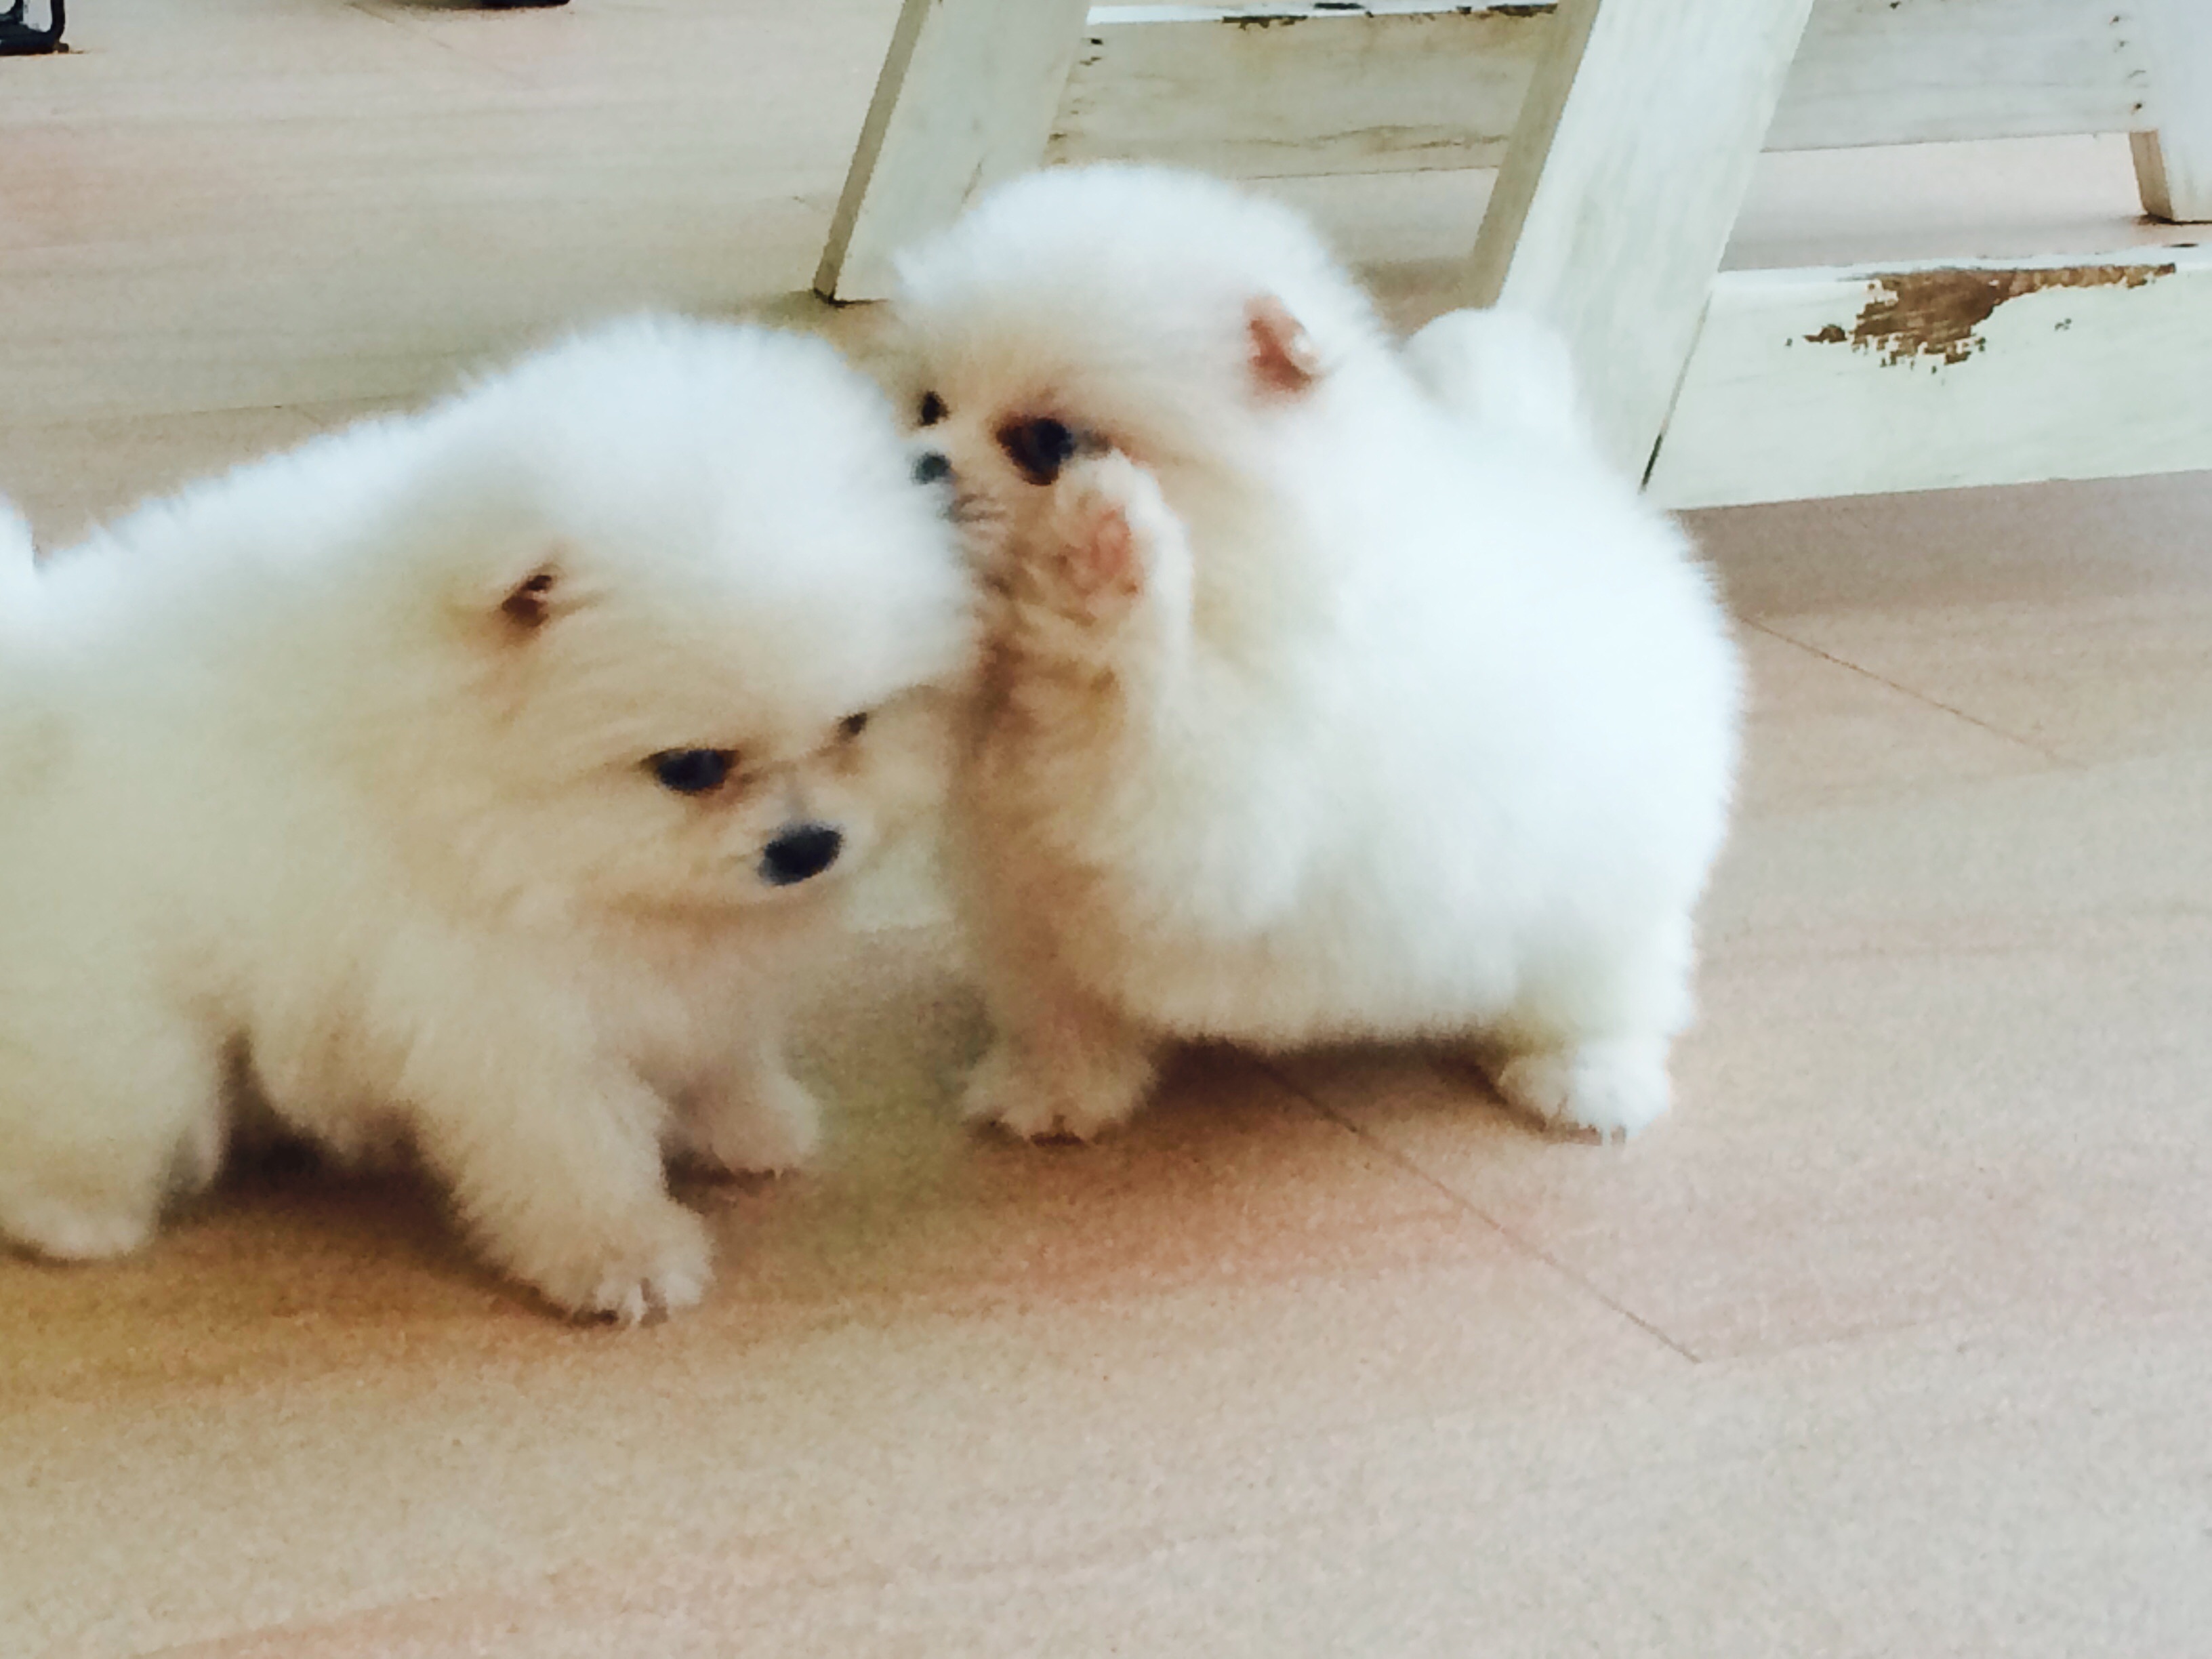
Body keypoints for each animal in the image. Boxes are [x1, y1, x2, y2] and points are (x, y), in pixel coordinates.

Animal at [0, 315, 973, 1319]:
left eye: (853, 726)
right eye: (692, 768)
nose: (808, 845)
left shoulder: (693, 980)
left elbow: (720, 1049)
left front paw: (752, 1123)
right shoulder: (507, 1011)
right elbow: (574, 1146)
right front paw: (625, 1255)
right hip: (124, 1032)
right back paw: (74, 1221)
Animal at [891, 164, 1742, 1142]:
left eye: (1048, 442)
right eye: (929, 408)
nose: (915, 463)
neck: (1234, 579)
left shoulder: (1220, 800)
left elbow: (1120, 701)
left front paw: (1099, 547)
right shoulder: (1025, 904)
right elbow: (1059, 1009)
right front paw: (1054, 1089)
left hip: (1609, 904)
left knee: (1613, 994)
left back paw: (1585, 1080)